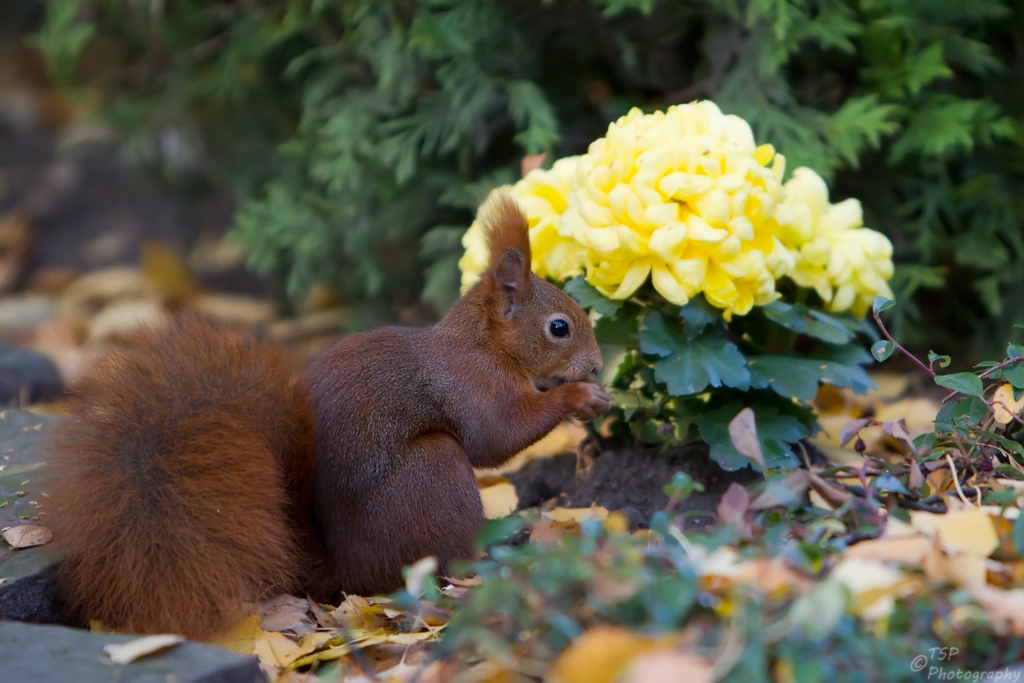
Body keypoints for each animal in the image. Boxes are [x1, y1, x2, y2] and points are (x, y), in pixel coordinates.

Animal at [44, 193, 606, 643]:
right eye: (559, 327)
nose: (599, 365)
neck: (485, 343)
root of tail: (346, 570)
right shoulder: (472, 386)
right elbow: (498, 437)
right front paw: (579, 397)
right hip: (435, 470)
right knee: (446, 556)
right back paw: (492, 552)